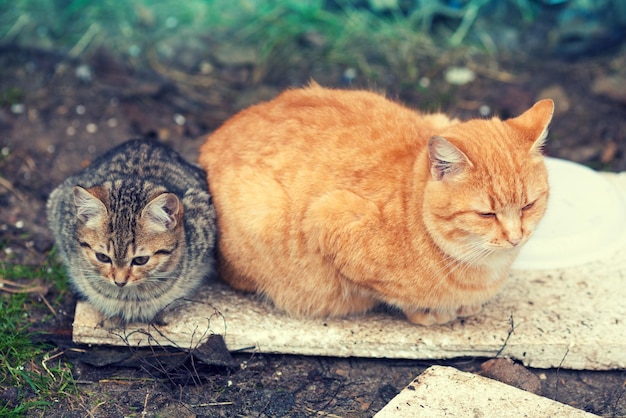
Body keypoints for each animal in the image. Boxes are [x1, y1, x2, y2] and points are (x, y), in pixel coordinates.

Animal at [199, 83, 552, 326]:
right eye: (486, 214)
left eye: (528, 205)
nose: (516, 237)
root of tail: (211, 139)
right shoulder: (330, 217)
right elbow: (387, 294)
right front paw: (430, 312)